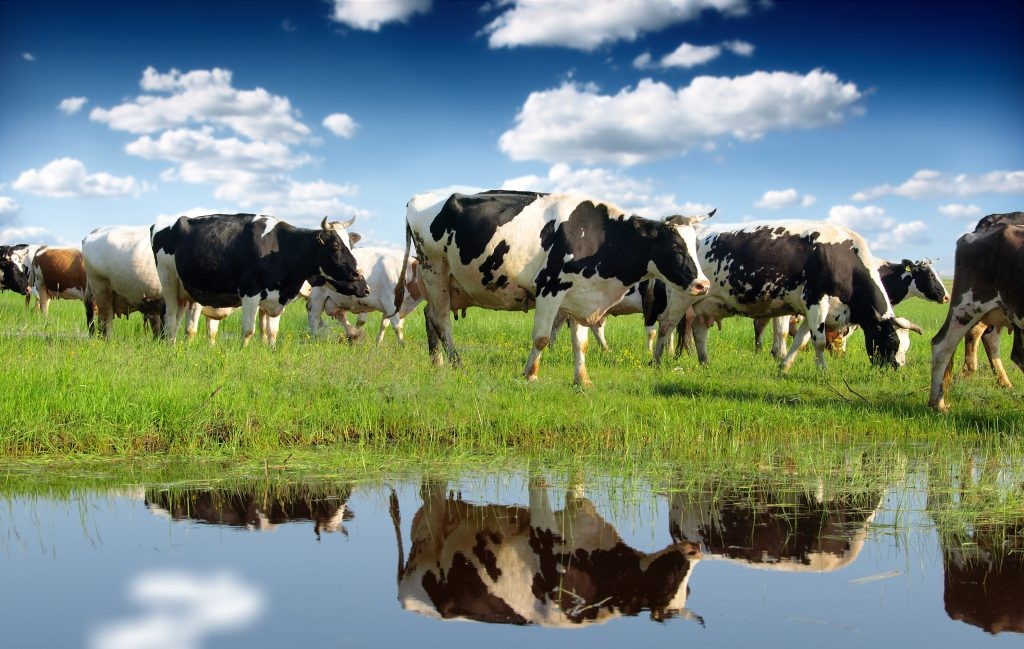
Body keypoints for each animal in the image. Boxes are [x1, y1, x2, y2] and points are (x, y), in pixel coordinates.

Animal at [151, 211, 368, 343]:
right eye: (336, 246)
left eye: (351, 245)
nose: (362, 282)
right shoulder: (250, 292)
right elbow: (248, 331)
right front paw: (242, 353)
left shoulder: (275, 300)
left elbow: (273, 333)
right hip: (168, 281)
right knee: (170, 318)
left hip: (186, 291)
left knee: (179, 321)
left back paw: (175, 345)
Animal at [401, 188, 712, 384]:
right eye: (675, 246)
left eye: (696, 244)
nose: (702, 285)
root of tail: (421, 197)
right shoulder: (549, 289)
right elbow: (541, 338)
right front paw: (529, 375)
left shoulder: (580, 296)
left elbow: (581, 343)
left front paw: (582, 381)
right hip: (434, 270)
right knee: (442, 320)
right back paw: (456, 364)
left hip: (449, 283)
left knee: (430, 317)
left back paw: (437, 363)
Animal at [651, 220, 925, 368]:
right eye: (892, 342)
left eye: (906, 346)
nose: (896, 368)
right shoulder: (816, 300)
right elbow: (819, 341)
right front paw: (823, 370)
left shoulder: (810, 309)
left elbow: (801, 340)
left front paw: (784, 366)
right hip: (681, 297)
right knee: (665, 326)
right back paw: (657, 361)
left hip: (708, 303)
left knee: (699, 331)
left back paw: (705, 361)